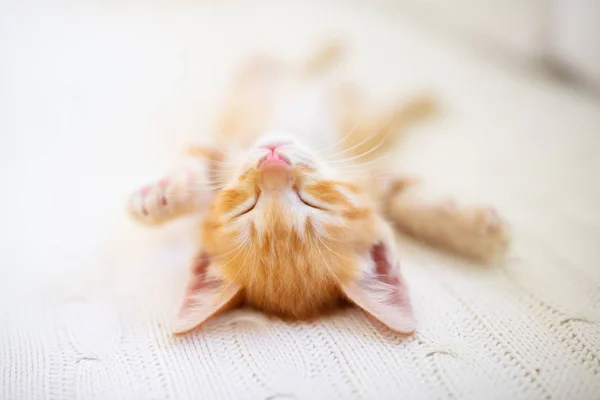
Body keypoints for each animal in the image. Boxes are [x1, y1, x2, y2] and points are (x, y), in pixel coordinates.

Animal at [129, 39, 508, 334]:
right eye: (248, 205)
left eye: (312, 202)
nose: (272, 163)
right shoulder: (215, 146)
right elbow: (200, 171)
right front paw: (160, 197)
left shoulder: (375, 175)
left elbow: (406, 202)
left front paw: (469, 227)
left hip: (362, 118)